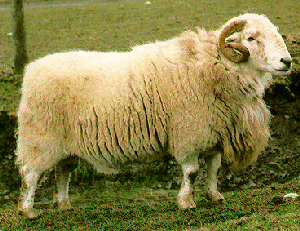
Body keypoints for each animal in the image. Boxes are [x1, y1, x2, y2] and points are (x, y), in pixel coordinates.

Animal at [15, 13, 292, 219]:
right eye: (251, 37)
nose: (287, 61)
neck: (217, 67)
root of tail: (31, 72)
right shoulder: (189, 134)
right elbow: (192, 171)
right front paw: (186, 203)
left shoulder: (213, 133)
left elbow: (214, 169)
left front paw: (215, 197)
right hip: (40, 140)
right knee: (30, 174)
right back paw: (28, 211)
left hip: (66, 147)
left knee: (63, 173)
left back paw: (64, 205)